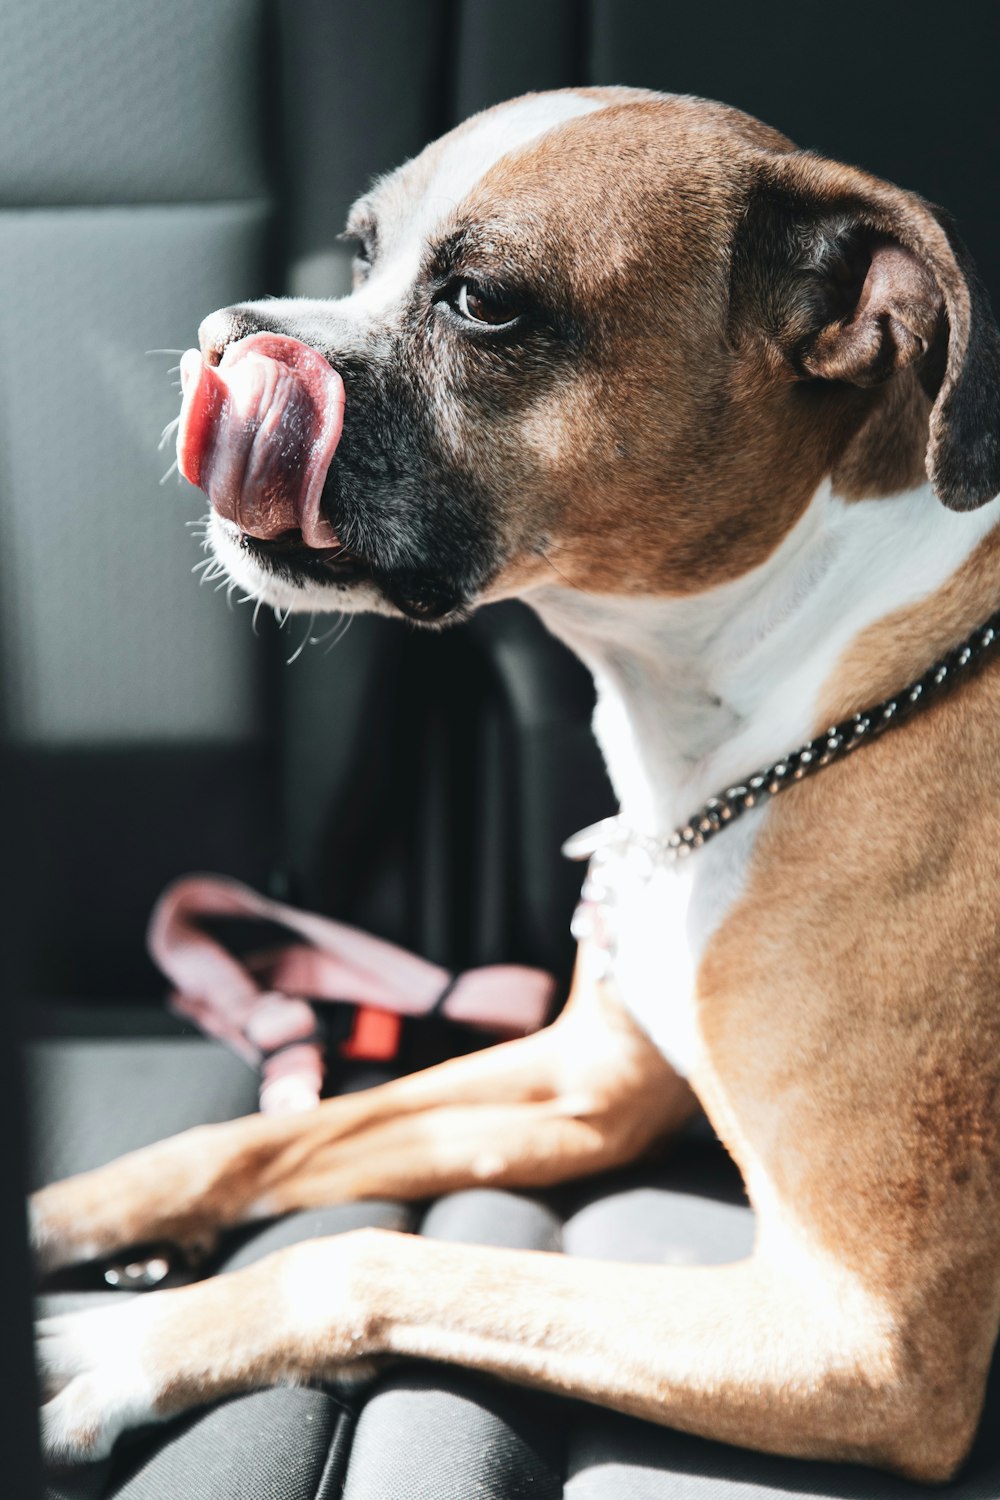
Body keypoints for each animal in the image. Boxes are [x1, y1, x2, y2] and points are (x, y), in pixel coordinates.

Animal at [31, 90, 1000, 1476]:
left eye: (480, 303)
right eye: (359, 251)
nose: (227, 335)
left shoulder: (863, 1342)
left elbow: (358, 1257)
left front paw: (127, 1344)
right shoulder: (579, 1086)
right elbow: (261, 1135)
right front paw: (63, 1213)